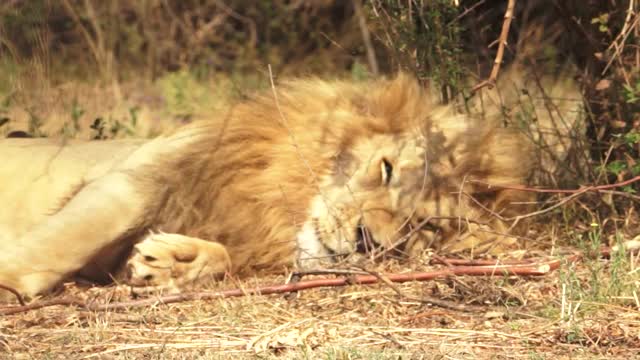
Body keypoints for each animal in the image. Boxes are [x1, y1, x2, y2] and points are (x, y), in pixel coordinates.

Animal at [0, 74, 528, 300]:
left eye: (425, 227)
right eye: (386, 169)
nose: (367, 242)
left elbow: (222, 255)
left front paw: (172, 263)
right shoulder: (131, 181)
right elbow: (57, 245)